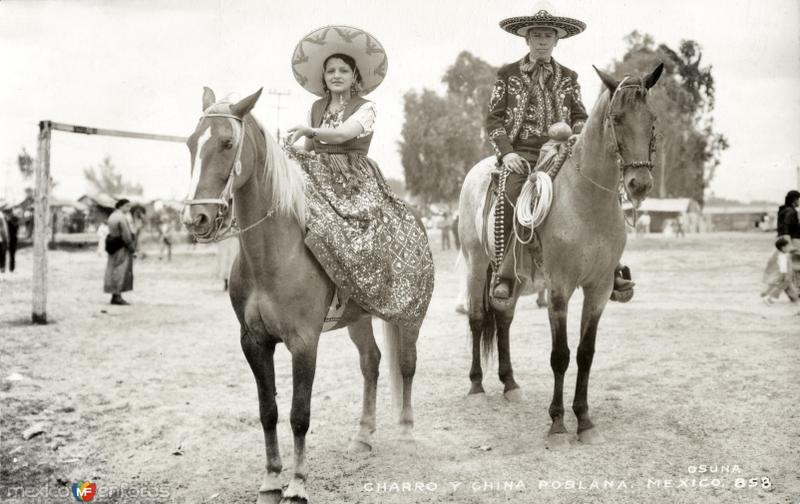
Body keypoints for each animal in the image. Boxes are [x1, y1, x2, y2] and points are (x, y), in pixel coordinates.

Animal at [182, 88, 424, 502]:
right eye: (190, 144)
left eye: (227, 143)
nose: (197, 219)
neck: (274, 254)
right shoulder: (254, 342)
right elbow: (268, 410)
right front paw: (271, 479)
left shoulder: (304, 342)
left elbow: (299, 414)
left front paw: (297, 483)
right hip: (358, 319)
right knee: (372, 364)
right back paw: (363, 437)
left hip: (408, 317)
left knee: (406, 365)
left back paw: (407, 432)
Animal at [460, 65, 660, 446]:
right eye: (616, 117)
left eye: (652, 119)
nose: (639, 183)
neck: (587, 203)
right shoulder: (559, 288)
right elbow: (560, 355)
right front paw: (556, 422)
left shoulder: (598, 289)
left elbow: (585, 354)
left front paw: (584, 420)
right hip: (476, 263)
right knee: (478, 318)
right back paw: (477, 385)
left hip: (513, 278)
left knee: (503, 317)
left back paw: (510, 383)